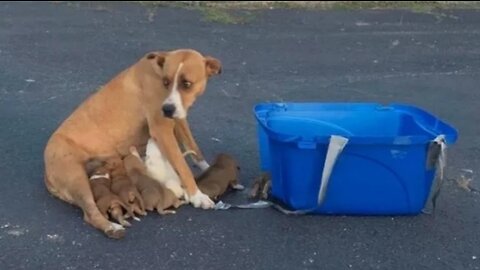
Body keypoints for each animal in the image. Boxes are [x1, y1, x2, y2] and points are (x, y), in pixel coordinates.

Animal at [43, 49, 221, 238]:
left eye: (186, 84)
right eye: (166, 82)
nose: (166, 109)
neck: (157, 71)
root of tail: (46, 173)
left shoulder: (179, 120)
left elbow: (194, 149)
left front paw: (209, 170)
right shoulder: (162, 129)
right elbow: (182, 165)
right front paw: (197, 196)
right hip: (77, 179)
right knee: (90, 212)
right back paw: (111, 227)